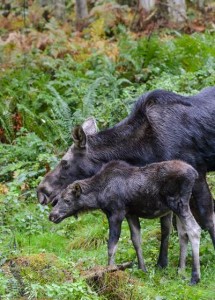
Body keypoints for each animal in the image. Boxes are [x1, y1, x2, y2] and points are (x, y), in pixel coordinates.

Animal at [37, 87, 215, 268]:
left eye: (64, 162)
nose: (42, 191)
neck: (143, 149)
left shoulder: (198, 173)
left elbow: (207, 218)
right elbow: (166, 226)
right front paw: (161, 263)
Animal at [49, 159, 202, 284]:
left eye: (67, 200)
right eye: (58, 199)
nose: (52, 216)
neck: (98, 196)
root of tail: (195, 174)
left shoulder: (116, 213)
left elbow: (112, 245)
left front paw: (109, 270)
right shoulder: (131, 214)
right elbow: (136, 240)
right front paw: (142, 269)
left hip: (178, 203)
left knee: (194, 230)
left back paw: (195, 277)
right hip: (177, 208)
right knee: (183, 234)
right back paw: (180, 271)